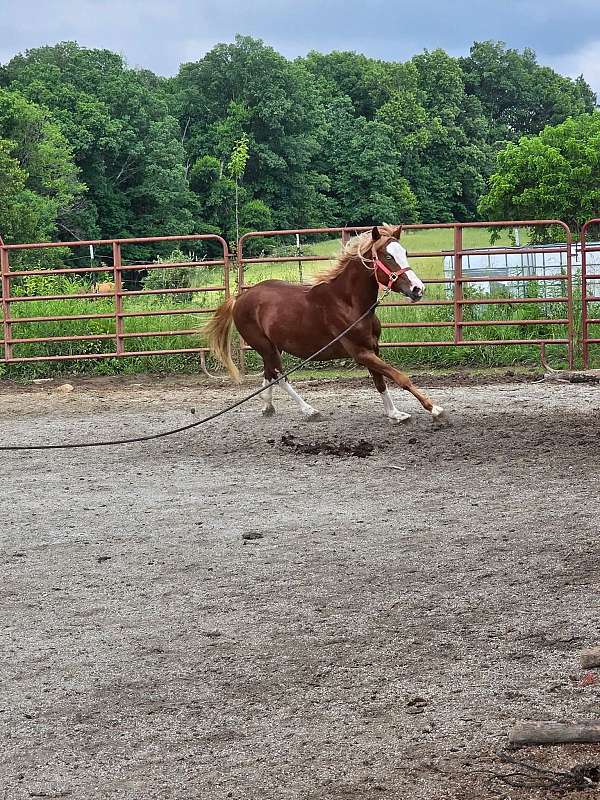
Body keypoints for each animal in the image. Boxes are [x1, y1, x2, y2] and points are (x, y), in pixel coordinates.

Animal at [204, 225, 446, 424]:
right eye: (387, 256)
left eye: (404, 253)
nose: (418, 289)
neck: (349, 304)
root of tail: (240, 298)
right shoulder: (360, 352)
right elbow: (399, 376)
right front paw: (434, 409)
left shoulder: (372, 348)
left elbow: (380, 381)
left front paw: (394, 414)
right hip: (264, 346)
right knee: (280, 377)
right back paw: (310, 411)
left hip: (273, 347)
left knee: (269, 374)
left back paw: (268, 407)